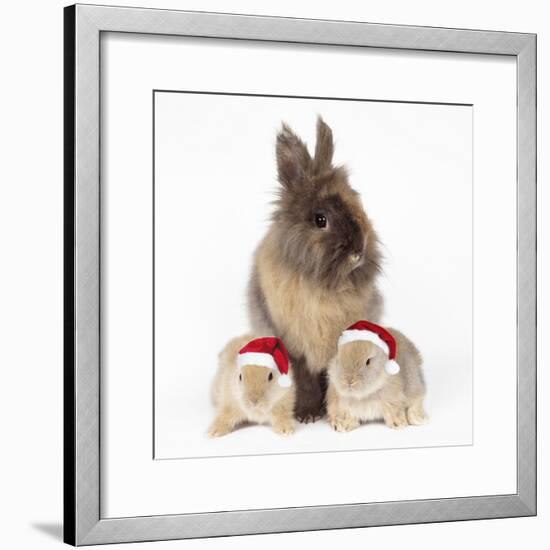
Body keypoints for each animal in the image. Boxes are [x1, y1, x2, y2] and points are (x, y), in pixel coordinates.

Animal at [249, 116, 384, 422]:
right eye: (320, 219)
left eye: (357, 204)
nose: (358, 251)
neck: (323, 285)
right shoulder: (294, 345)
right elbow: (305, 379)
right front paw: (307, 414)